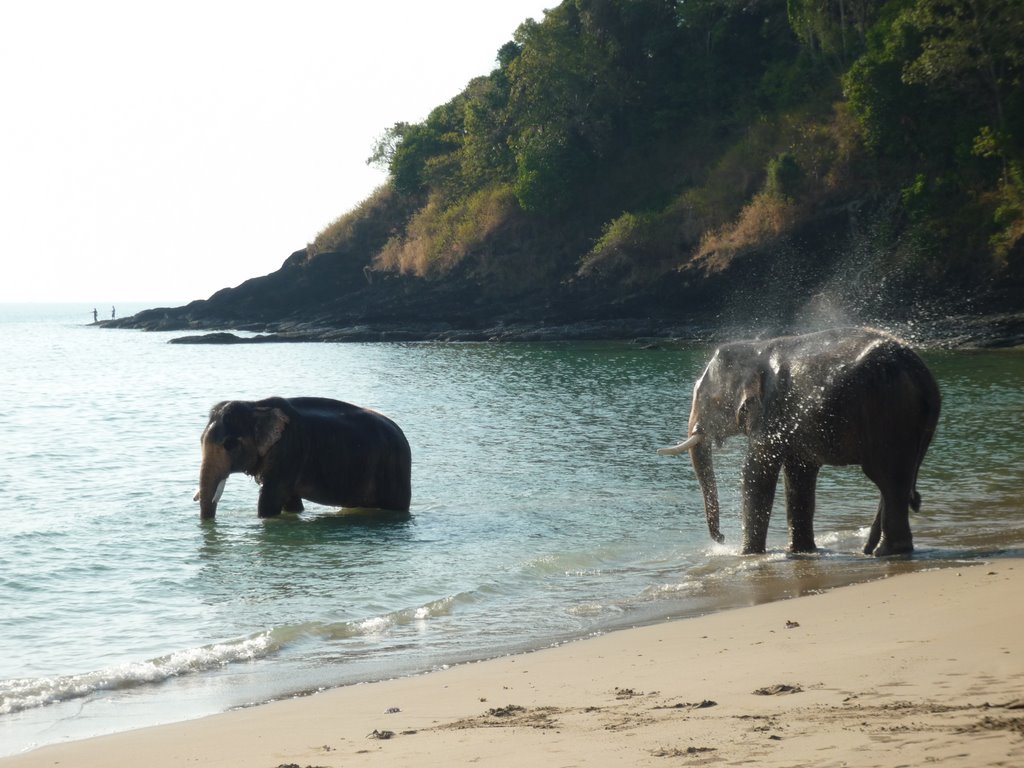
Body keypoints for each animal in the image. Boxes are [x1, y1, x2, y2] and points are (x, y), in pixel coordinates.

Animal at [195, 399, 411, 520]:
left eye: (229, 444)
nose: (208, 524)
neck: (255, 405)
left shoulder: (289, 451)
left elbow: (272, 497)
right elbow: (290, 500)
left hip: (394, 471)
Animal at [659, 327, 937, 557]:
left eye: (707, 398)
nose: (722, 538)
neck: (756, 347)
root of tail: (926, 379)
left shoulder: (771, 411)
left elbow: (756, 472)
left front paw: (747, 555)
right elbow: (798, 476)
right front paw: (801, 551)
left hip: (889, 413)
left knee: (888, 478)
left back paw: (886, 552)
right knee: (895, 481)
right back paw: (870, 550)